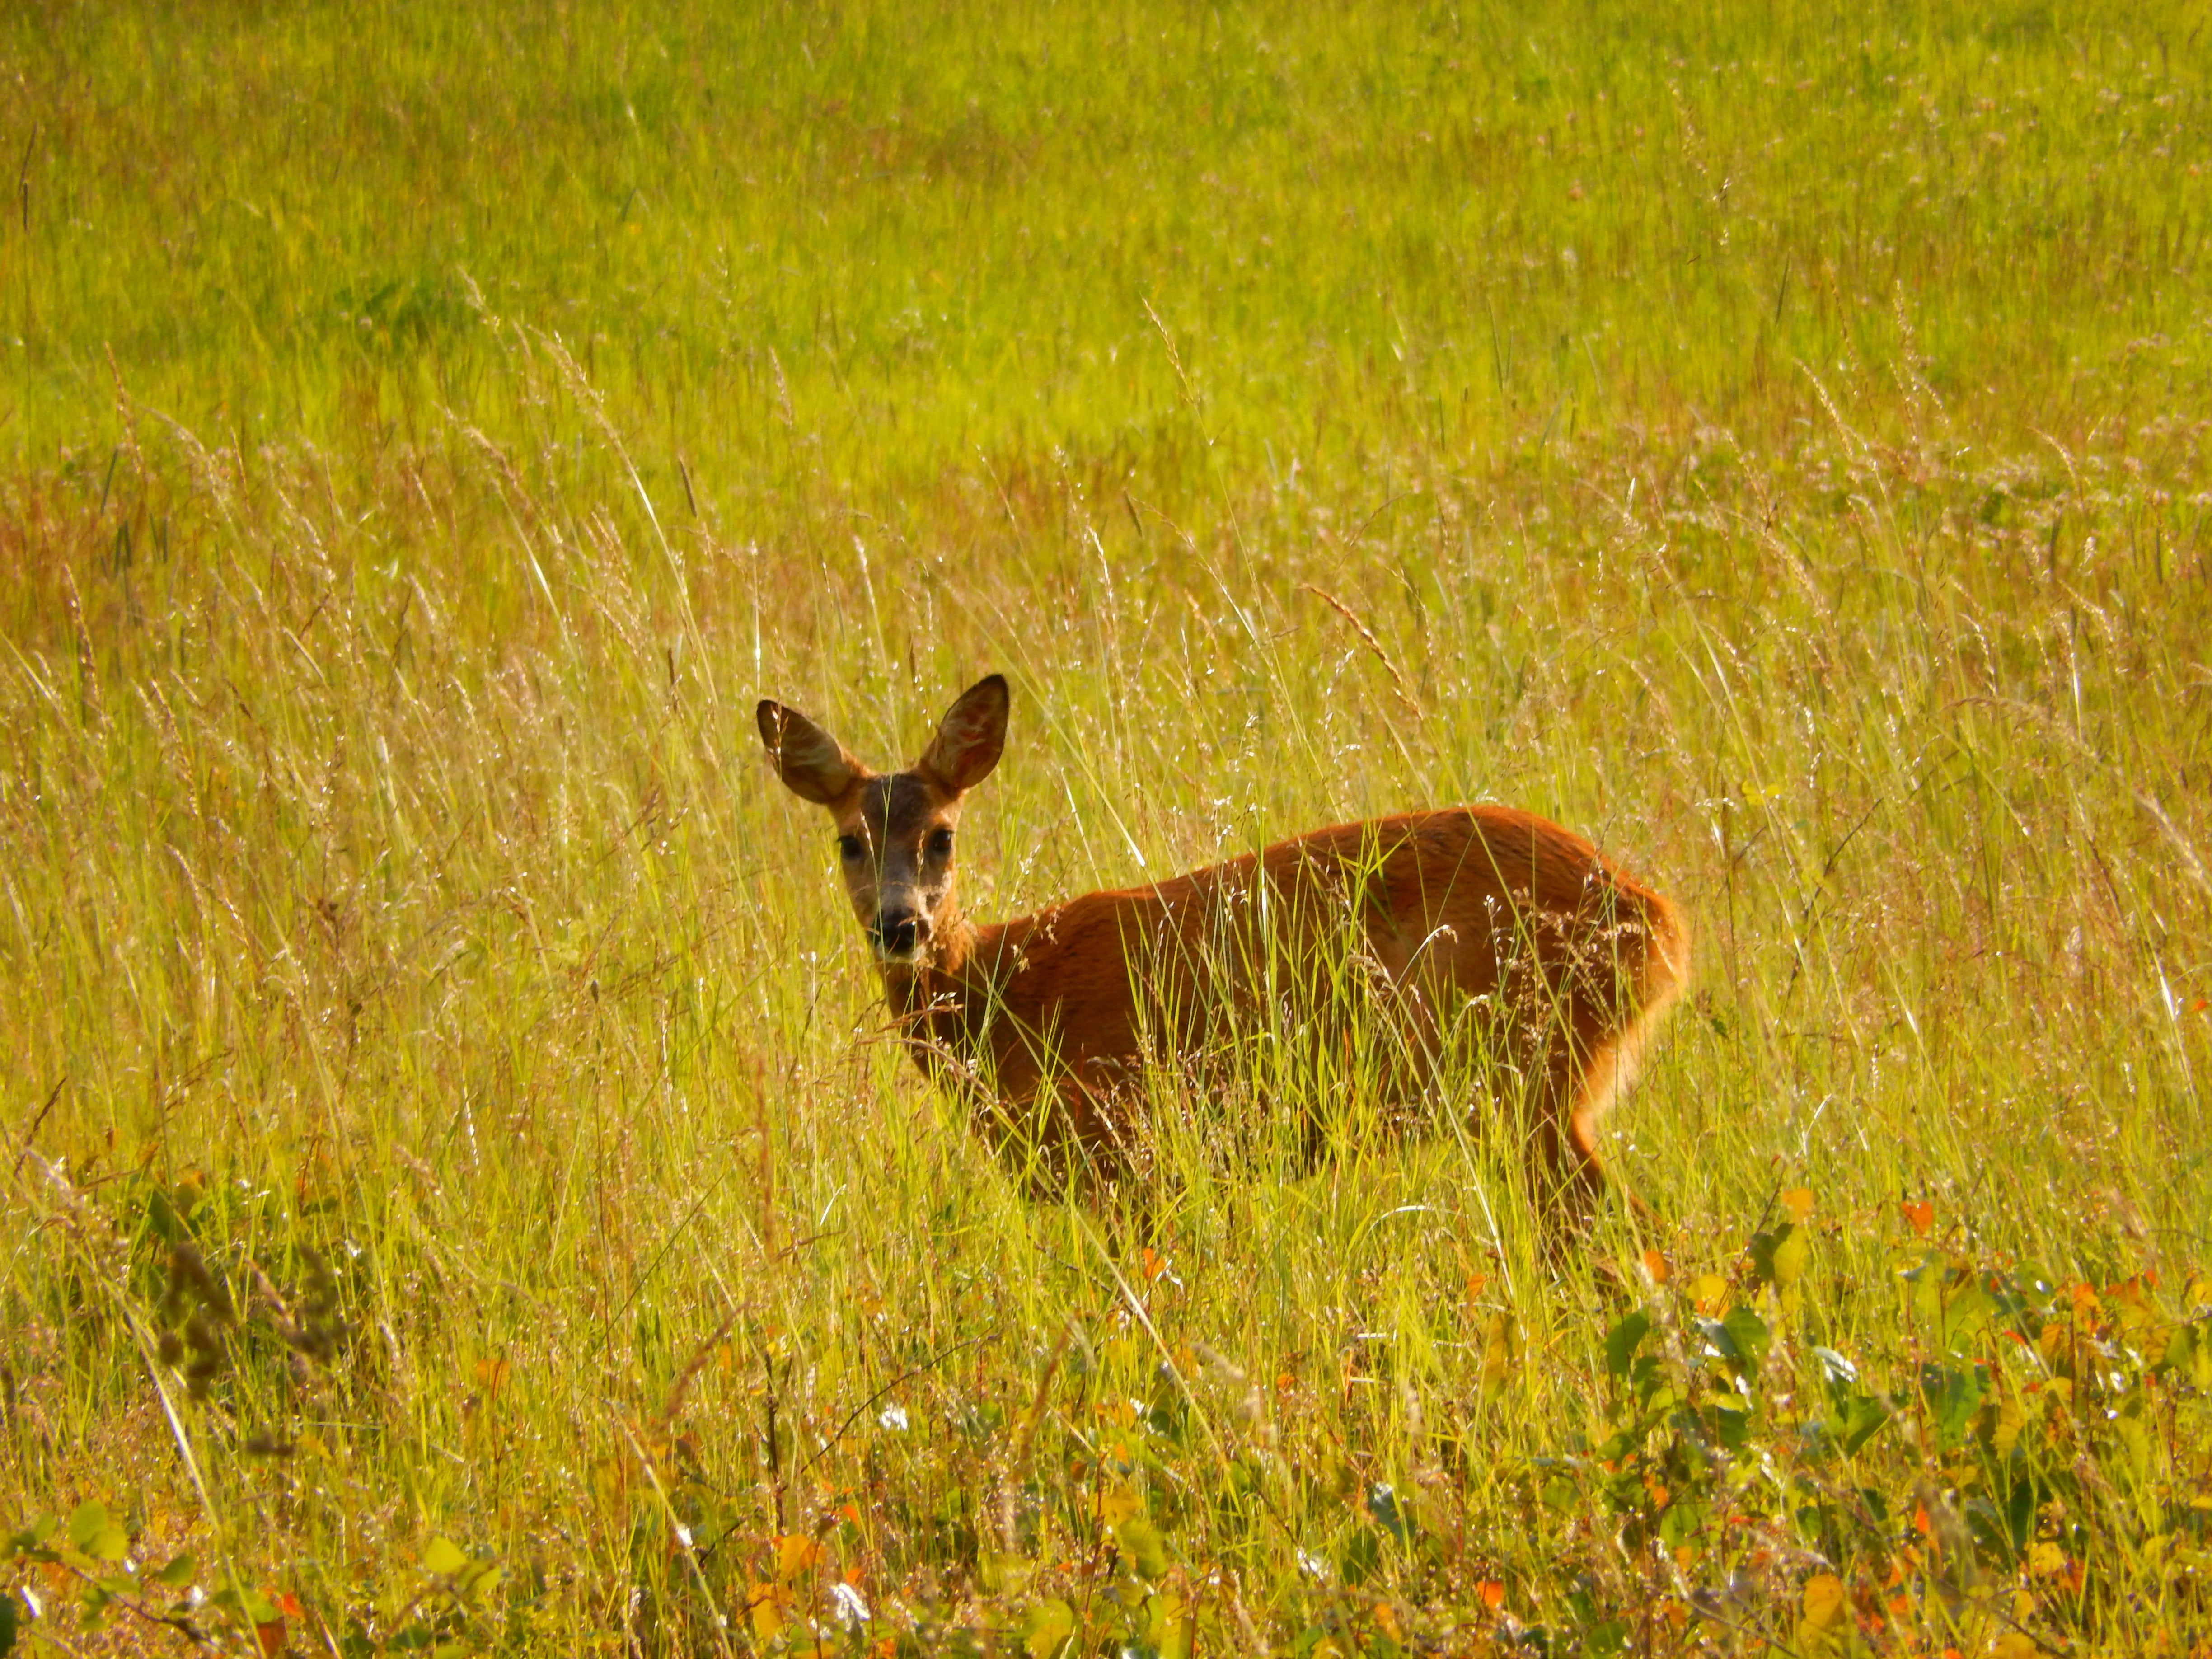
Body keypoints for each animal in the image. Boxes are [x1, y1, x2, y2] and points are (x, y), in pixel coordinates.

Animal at [756, 674, 1689, 1226]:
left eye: (942, 835)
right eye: (848, 841)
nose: (900, 925)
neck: (1005, 991)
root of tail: (1659, 924)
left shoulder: (1119, 1145)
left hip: (1523, 1074)